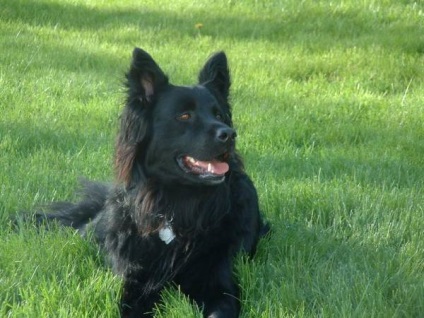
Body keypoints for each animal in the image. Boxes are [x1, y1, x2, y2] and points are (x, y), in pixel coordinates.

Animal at [35, 48, 268, 316]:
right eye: (185, 115)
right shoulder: (134, 282)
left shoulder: (220, 282)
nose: (229, 134)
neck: (177, 208)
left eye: (219, 114)